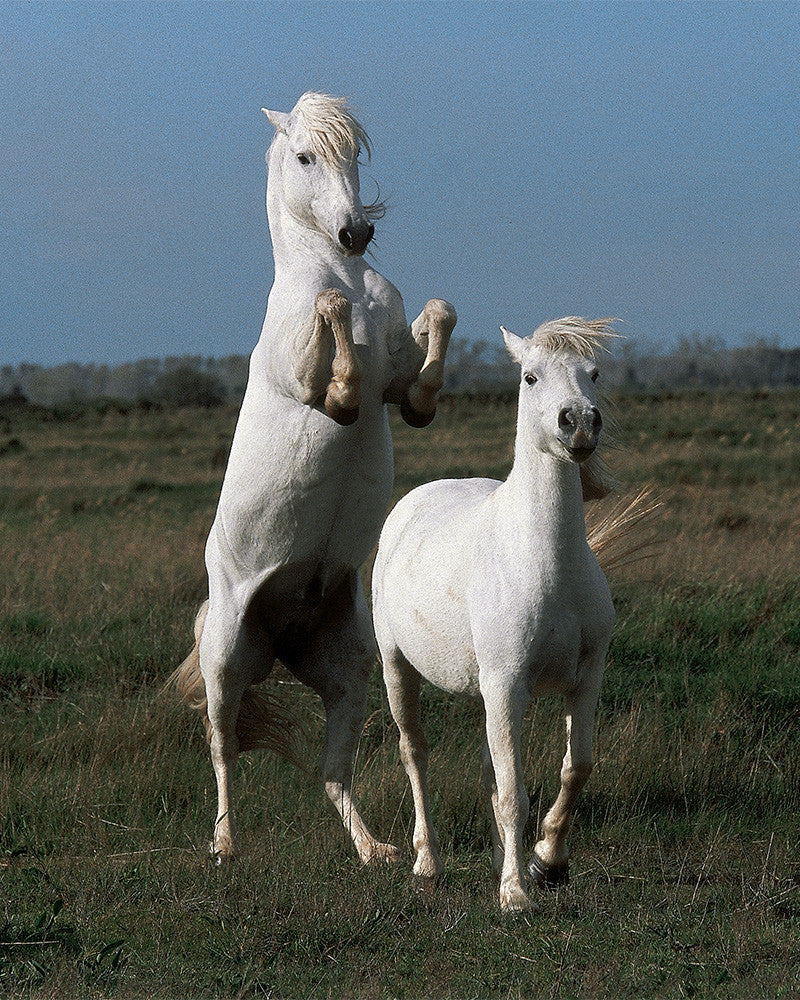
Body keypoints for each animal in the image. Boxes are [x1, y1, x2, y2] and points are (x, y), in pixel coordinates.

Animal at [169, 92, 456, 865]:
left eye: (354, 155)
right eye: (305, 156)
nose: (356, 232)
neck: (345, 276)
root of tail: (279, 633)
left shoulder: (404, 392)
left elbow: (433, 336)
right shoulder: (305, 383)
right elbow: (336, 356)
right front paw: (343, 371)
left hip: (348, 669)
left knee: (332, 774)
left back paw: (378, 850)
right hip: (225, 660)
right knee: (222, 748)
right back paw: (225, 844)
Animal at [371, 317, 618, 913]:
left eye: (594, 373)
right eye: (530, 376)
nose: (580, 422)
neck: (548, 561)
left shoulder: (584, 680)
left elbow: (575, 768)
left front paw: (547, 861)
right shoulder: (507, 685)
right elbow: (512, 793)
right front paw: (515, 893)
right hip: (397, 668)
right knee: (414, 754)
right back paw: (427, 864)